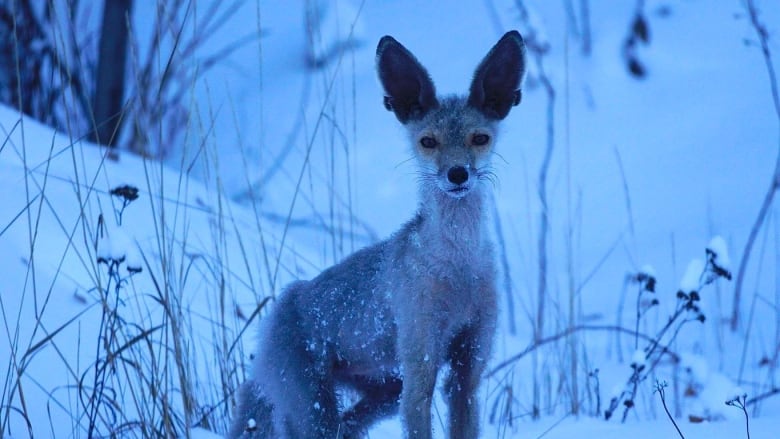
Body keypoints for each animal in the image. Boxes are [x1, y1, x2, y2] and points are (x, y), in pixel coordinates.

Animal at [229, 31, 528, 439]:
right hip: (316, 410)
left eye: (479, 138)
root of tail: (282, 305)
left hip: (381, 393)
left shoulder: (467, 372)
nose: (457, 174)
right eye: (428, 142)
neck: (458, 270)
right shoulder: (419, 370)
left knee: (347, 423)